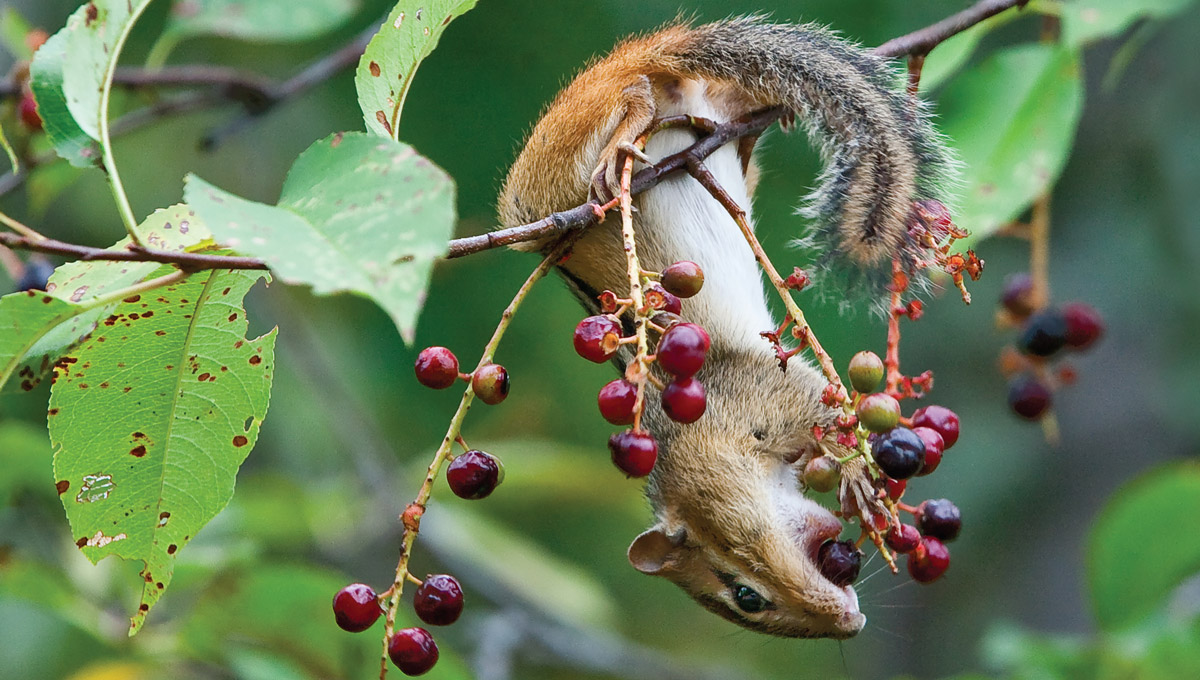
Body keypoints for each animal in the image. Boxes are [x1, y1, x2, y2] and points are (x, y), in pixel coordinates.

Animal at [497, 17, 955, 639]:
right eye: (747, 599)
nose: (847, 625)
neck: (697, 444)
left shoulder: (768, 393)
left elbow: (828, 412)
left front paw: (858, 475)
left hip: (550, 181)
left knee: (632, 97)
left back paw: (627, 133)